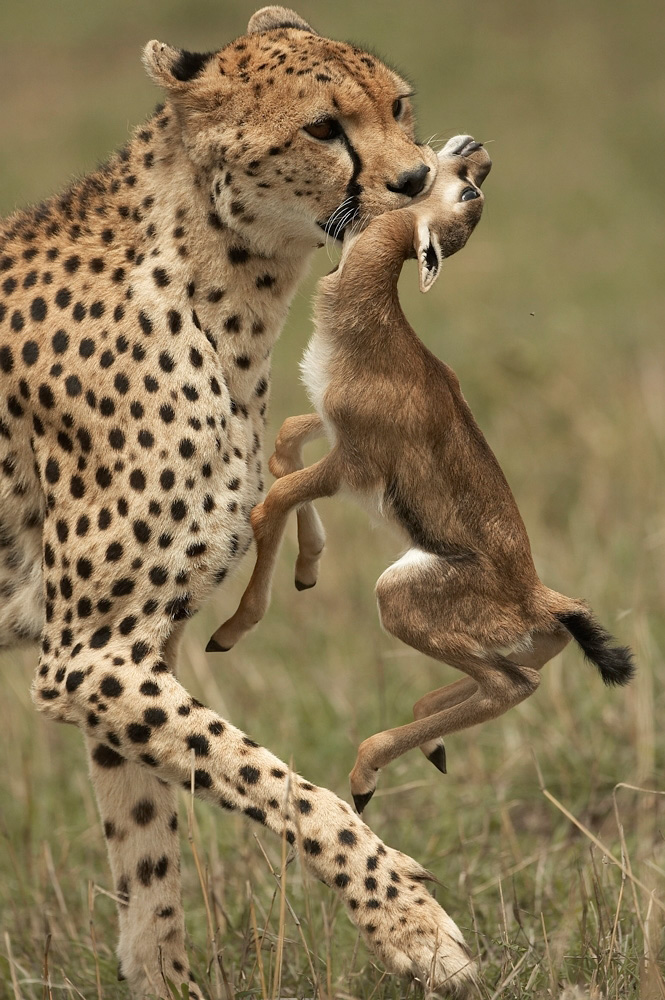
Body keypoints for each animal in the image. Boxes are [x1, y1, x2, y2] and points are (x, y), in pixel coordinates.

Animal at [0, 7, 476, 997]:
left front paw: (162, 979)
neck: (217, 287)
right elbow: (281, 783)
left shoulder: (128, 652)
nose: (419, 180)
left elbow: (148, 855)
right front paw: (410, 923)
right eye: (322, 127)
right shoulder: (87, 657)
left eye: (397, 104)